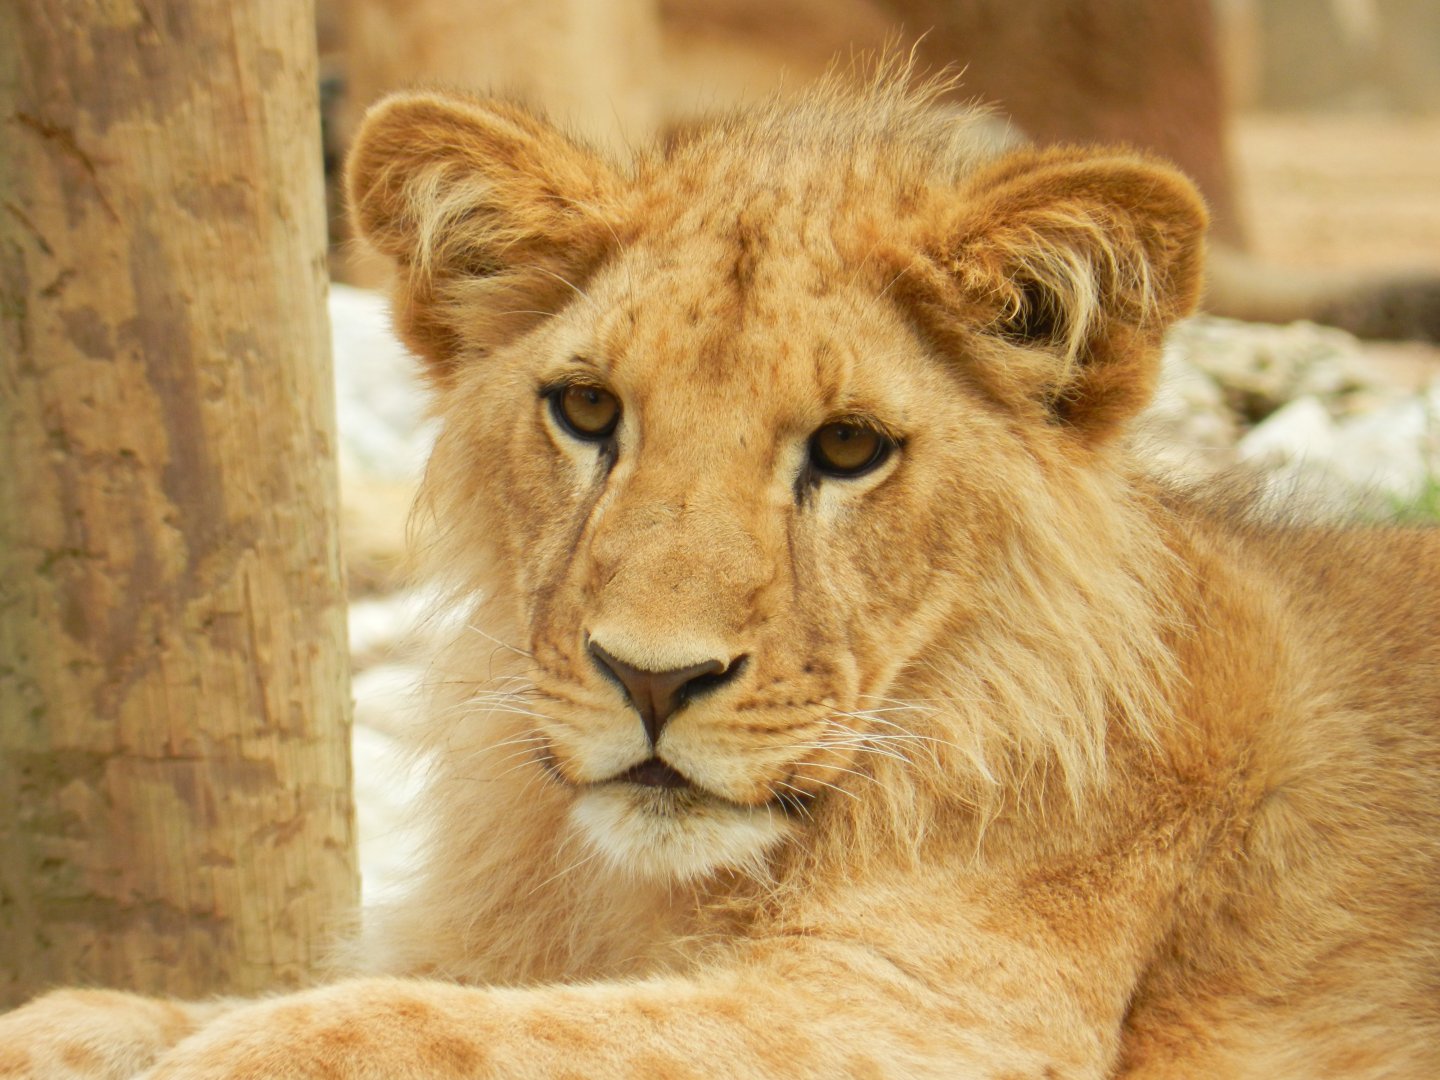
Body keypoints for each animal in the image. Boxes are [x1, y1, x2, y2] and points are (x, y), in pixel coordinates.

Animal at [2, 77, 1437, 1080]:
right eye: (587, 411)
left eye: (849, 448)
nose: (652, 679)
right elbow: (152, 1007)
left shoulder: (933, 1016)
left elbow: (422, 1028)